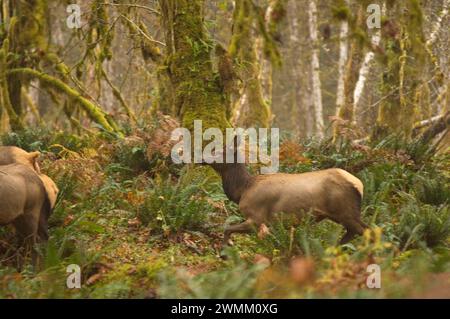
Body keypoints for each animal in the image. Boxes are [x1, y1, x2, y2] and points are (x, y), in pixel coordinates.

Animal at [209, 137, 368, 245]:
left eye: (217, 152)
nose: (202, 157)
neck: (242, 190)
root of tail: (360, 185)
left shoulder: (256, 217)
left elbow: (227, 228)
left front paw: (225, 250)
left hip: (346, 212)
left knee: (365, 231)